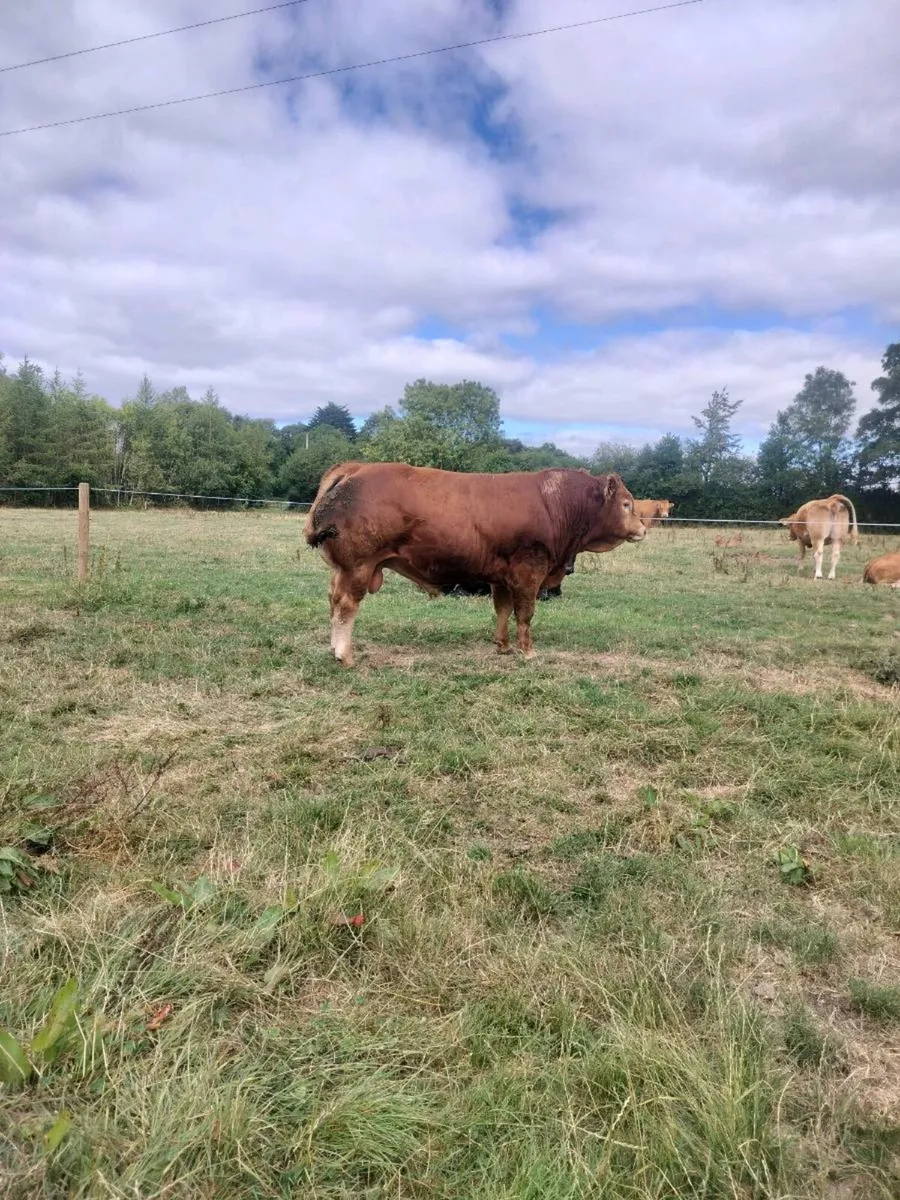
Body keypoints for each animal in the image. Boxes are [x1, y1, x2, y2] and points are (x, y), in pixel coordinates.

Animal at [304, 462, 646, 665]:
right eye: (626, 504)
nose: (643, 528)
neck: (554, 503)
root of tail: (355, 467)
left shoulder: (501, 577)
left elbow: (503, 610)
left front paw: (503, 646)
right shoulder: (529, 572)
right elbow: (525, 614)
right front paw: (528, 652)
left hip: (341, 570)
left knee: (333, 601)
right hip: (358, 567)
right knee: (346, 606)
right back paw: (345, 655)